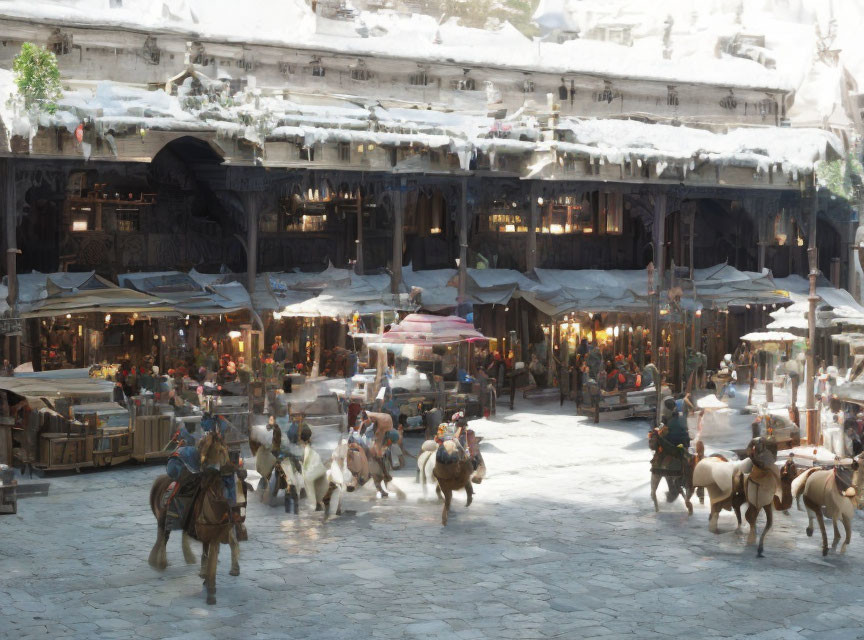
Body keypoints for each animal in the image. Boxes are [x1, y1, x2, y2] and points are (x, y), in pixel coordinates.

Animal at [150, 430, 240, 604]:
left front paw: (228, 571)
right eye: (219, 450)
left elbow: (226, 547)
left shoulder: (220, 531)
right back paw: (160, 562)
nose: (231, 468)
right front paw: (209, 587)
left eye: (224, 449)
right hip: (164, 520)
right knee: (163, 537)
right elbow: (211, 556)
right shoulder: (210, 533)